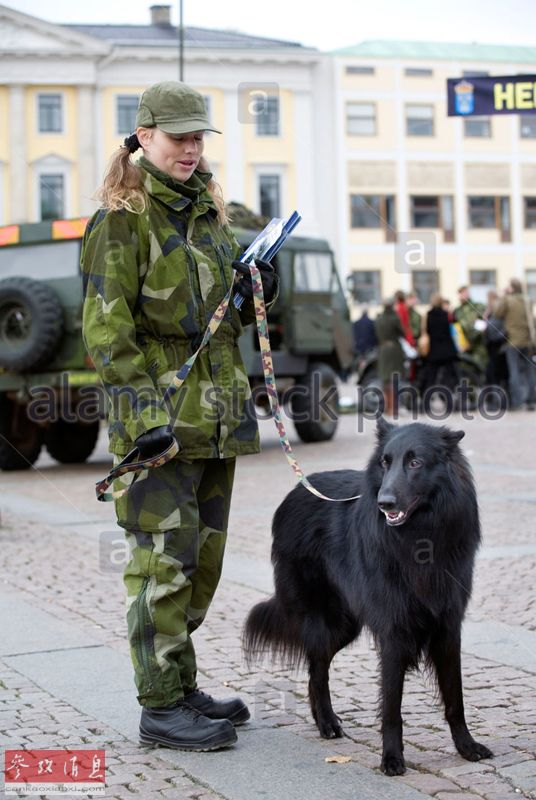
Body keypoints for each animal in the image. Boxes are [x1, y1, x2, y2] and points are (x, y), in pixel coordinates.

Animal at [243, 418, 494, 776]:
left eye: (415, 463)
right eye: (385, 462)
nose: (384, 502)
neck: (420, 537)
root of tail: (296, 491)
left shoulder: (448, 629)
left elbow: (454, 698)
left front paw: (466, 746)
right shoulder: (393, 633)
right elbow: (391, 707)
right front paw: (392, 758)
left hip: (345, 626)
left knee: (314, 670)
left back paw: (326, 721)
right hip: (324, 621)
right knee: (317, 671)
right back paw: (327, 724)